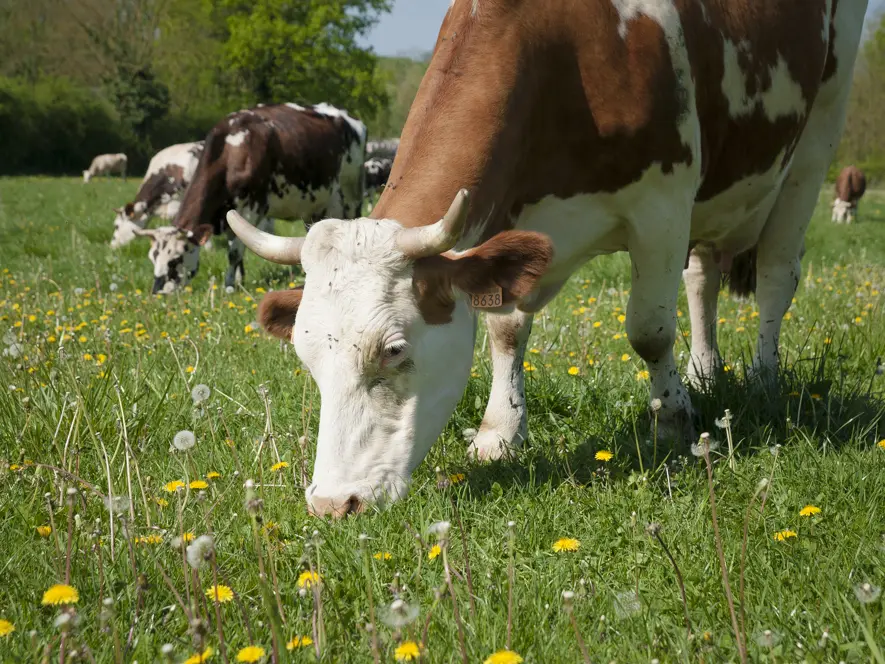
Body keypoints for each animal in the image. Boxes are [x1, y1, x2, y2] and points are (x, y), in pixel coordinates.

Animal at [135, 102, 366, 294]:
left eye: (176, 259)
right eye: (152, 257)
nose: (157, 292)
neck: (231, 150)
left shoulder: (249, 207)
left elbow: (234, 253)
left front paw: (229, 286)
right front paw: (239, 279)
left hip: (350, 195)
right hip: (315, 204)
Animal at [227, 0, 867, 517]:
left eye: (394, 350)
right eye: (306, 355)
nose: (334, 504)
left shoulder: (663, 203)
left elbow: (650, 332)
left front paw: (671, 420)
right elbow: (505, 329)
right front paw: (500, 432)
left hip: (818, 132)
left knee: (777, 275)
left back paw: (763, 377)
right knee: (702, 275)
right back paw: (707, 369)